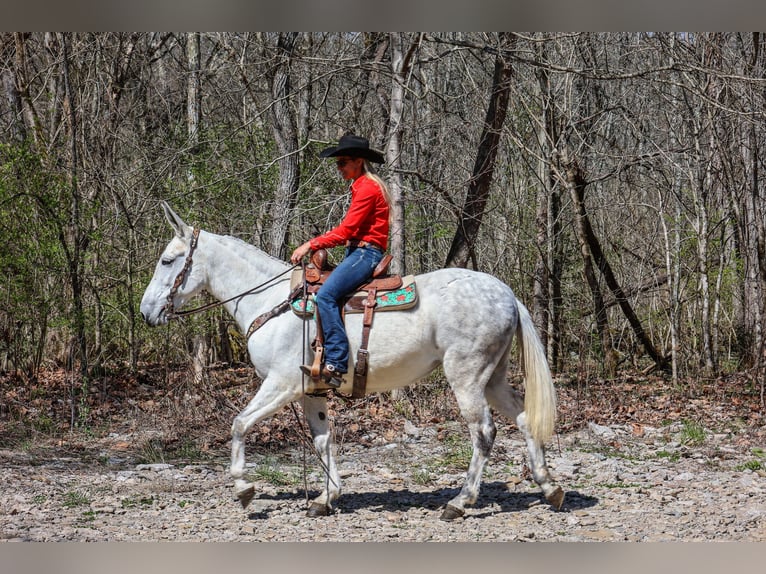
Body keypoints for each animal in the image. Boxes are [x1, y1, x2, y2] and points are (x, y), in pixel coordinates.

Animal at [142, 204, 564, 520]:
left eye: (167, 260)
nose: (146, 312)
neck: (272, 303)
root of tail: (505, 292)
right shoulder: (310, 390)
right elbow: (323, 439)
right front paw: (326, 498)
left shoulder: (281, 384)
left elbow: (240, 423)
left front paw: (244, 487)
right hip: (493, 378)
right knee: (524, 418)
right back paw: (549, 487)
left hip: (467, 377)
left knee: (483, 432)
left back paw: (460, 502)